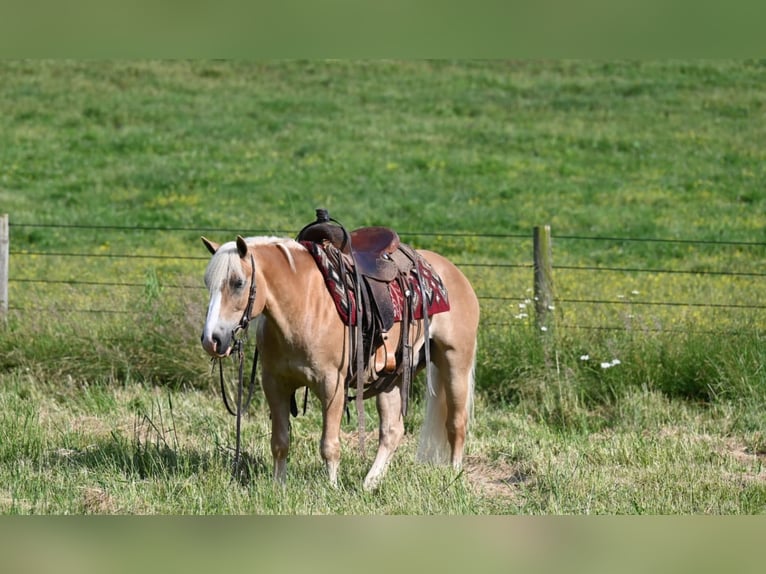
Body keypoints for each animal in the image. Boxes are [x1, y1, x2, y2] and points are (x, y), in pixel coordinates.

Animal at [201, 233, 484, 490]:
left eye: (238, 282)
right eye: (208, 283)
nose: (211, 340)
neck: (303, 305)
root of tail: (454, 273)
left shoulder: (332, 386)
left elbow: (329, 445)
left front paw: (332, 487)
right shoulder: (274, 383)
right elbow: (280, 442)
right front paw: (278, 488)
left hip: (455, 363)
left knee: (456, 423)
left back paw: (455, 475)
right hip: (391, 378)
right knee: (392, 431)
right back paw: (370, 483)